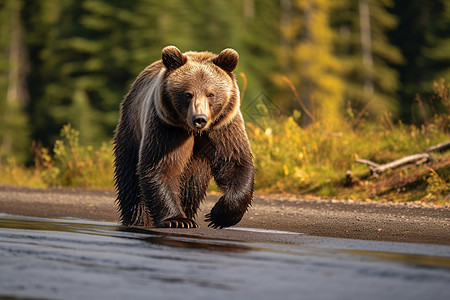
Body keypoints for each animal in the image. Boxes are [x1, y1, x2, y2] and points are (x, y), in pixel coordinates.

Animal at [112, 45, 255, 229]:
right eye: (188, 94)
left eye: (211, 94)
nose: (199, 118)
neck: (194, 131)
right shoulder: (167, 129)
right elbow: (162, 166)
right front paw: (177, 220)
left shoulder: (223, 128)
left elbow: (234, 162)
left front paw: (217, 215)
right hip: (131, 127)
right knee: (129, 176)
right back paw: (138, 219)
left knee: (192, 187)